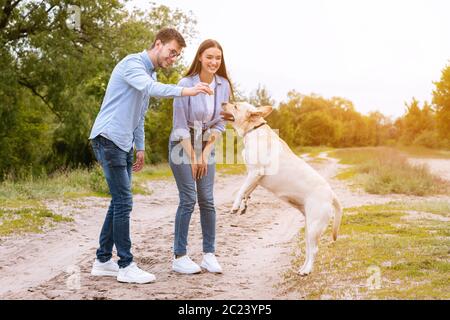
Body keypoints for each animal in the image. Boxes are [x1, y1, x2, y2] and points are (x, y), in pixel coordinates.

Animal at [220, 102, 342, 276]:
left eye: (235, 106)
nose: (223, 102)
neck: (253, 129)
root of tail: (331, 194)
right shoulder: (255, 178)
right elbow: (247, 192)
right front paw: (243, 206)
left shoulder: (255, 172)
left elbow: (241, 190)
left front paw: (235, 205)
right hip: (309, 228)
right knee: (308, 249)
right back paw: (302, 268)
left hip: (314, 226)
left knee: (314, 250)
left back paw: (307, 270)